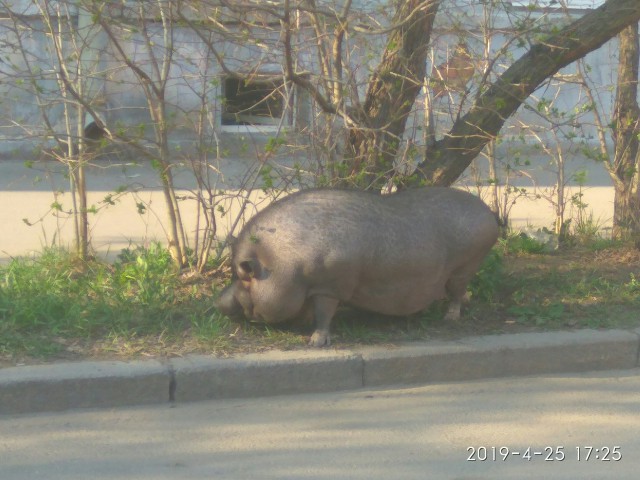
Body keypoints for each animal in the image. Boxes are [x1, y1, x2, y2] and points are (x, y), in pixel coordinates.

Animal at [215, 186, 500, 346]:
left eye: (242, 274)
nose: (220, 302)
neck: (279, 261)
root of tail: (488, 211)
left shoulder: (330, 286)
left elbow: (324, 313)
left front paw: (316, 342)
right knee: (460, 293)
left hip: (465, 266)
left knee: (456, 292)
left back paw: (450, 317)